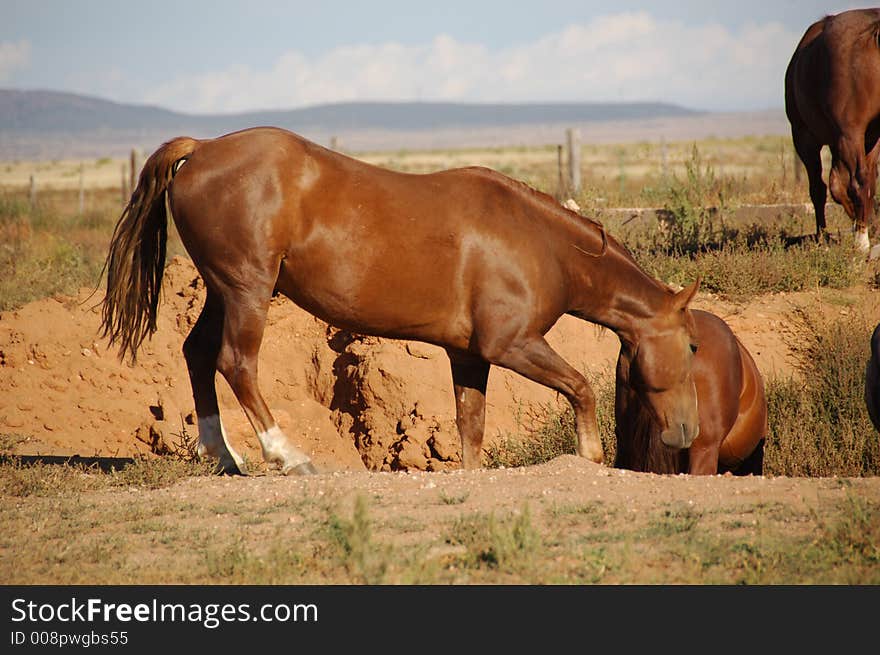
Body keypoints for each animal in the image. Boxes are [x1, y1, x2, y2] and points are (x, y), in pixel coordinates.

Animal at [99, 127, 700, 476]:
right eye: (694, 347)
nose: (686, 432)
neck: (541, 243)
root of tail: (202, 150)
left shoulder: (469, 356)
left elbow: (471, 428)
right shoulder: (512, 345)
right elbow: (579, 387)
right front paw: (590, 458)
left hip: (223, 291)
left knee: (198, 355)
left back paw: (224, 457)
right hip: (247, 291)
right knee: (235, 363)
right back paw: (288, 457)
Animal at [788, 8, 880, 254]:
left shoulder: (805, 139)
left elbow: (821, 189)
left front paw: (823, 237)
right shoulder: (870, 138)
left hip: (846, 134)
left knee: (857, 180)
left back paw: (861, 241)